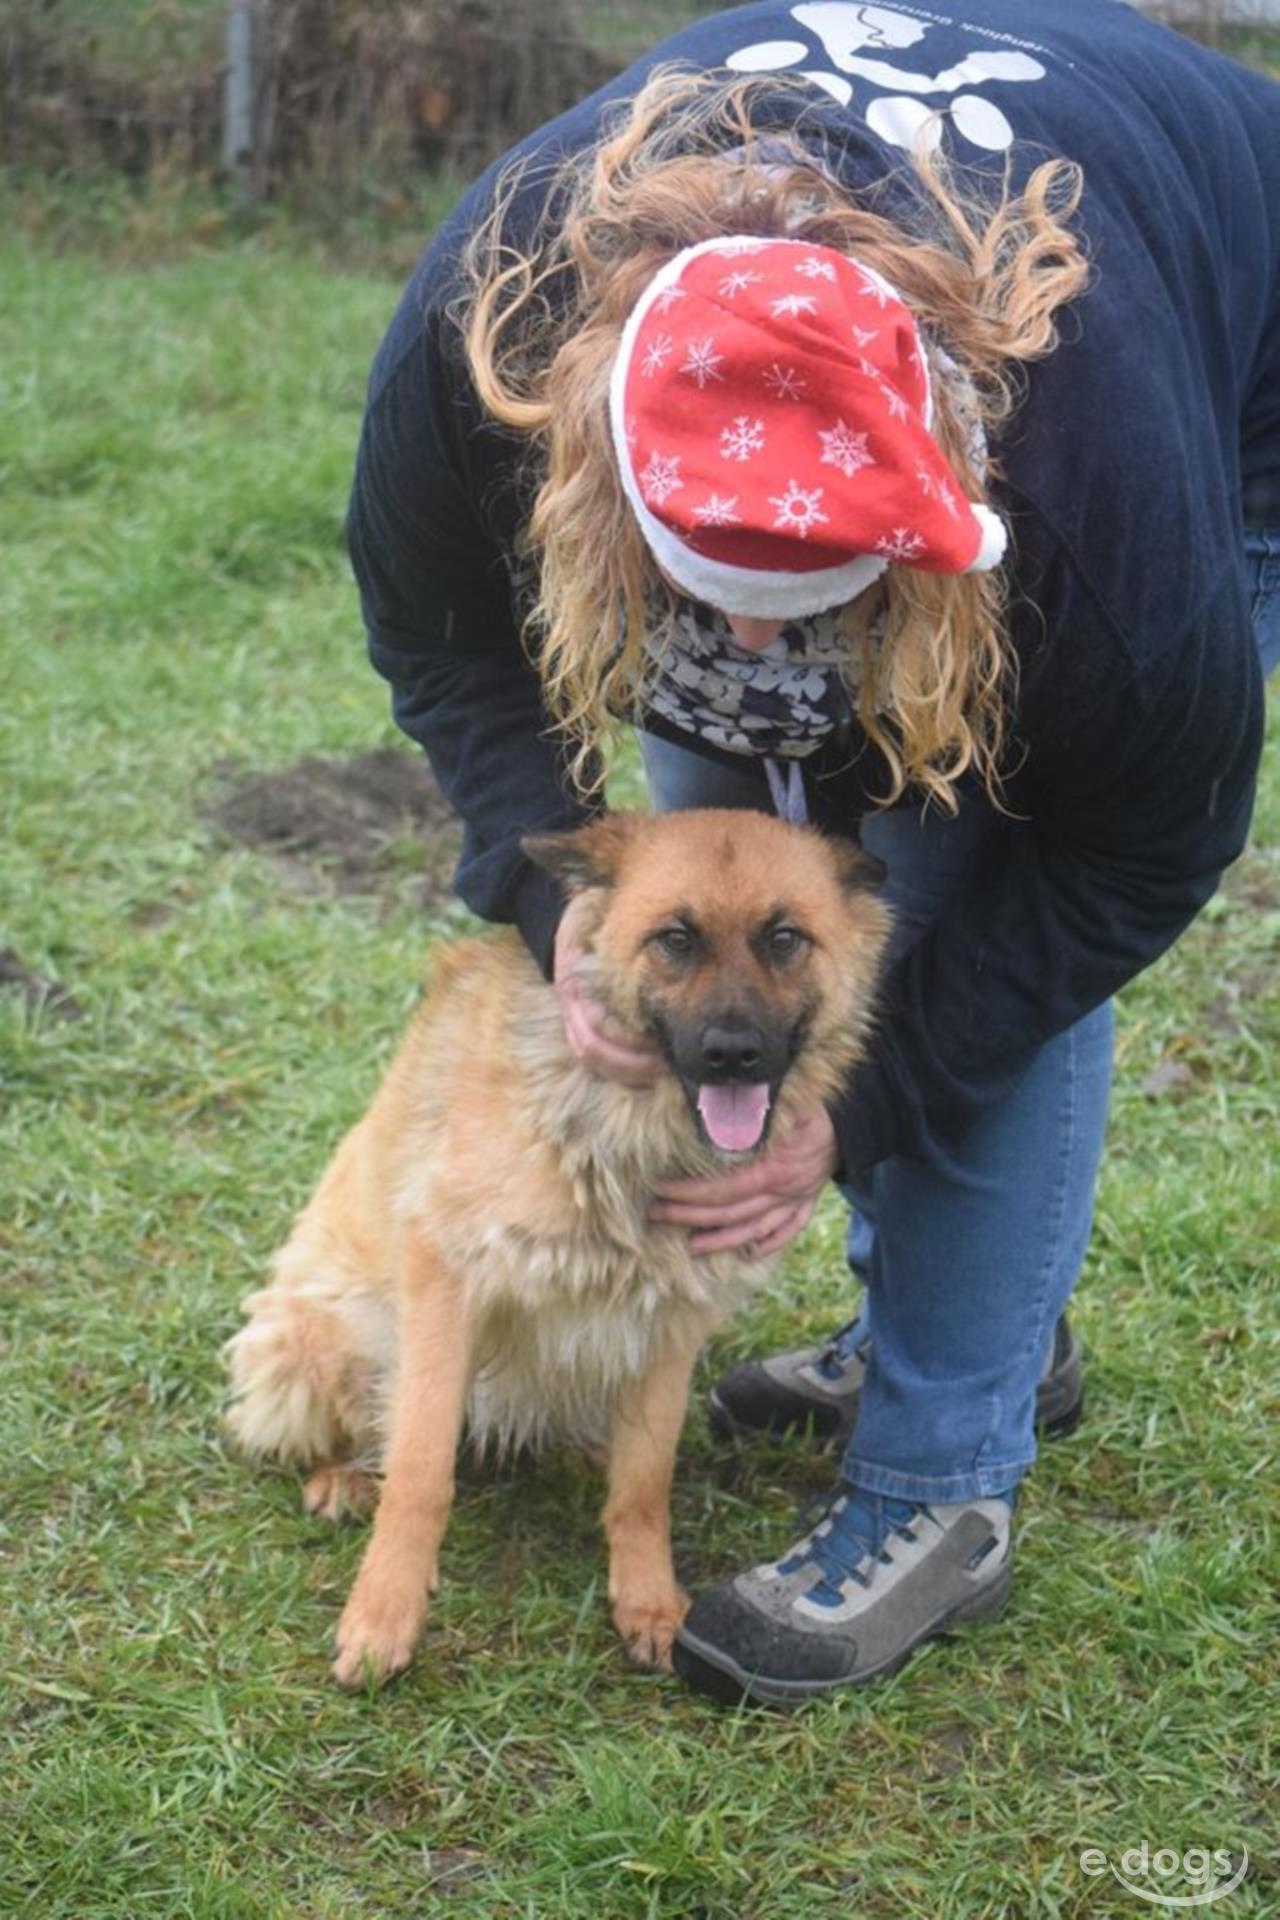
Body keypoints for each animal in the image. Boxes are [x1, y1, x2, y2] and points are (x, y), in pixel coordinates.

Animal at [222, 806, 890, 1681]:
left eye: (785, 938)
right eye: (676, 939)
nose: (733, 1053)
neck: (629, 1134)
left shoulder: (671, 1321)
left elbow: (645, 1483)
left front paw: (647, 1601)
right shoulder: (445, 1277)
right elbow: (421, 1468)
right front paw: (384, 1615)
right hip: (316, 1340)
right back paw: (341, 1478)